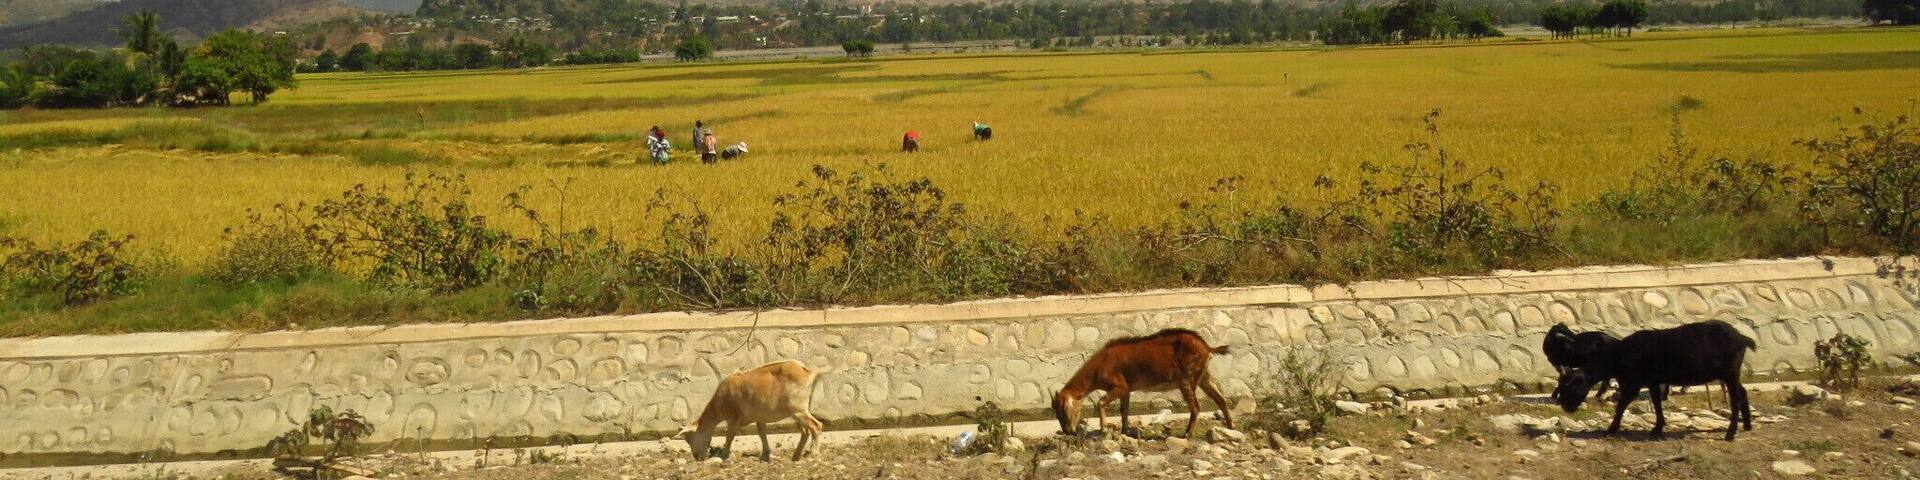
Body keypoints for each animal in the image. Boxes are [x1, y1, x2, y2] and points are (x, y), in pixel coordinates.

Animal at [678, 360, 825, 461]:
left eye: (689, 438)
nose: (697, 457)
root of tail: (808, 372)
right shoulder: (760, 417)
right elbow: (762, 433)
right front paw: (765, 454)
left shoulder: (733, 418)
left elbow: (729, 436)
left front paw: (724, 455)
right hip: (797, 412)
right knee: (805, 430)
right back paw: (796, 456)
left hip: (798, 409)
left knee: (816, 426)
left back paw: (813, 453)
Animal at [1051, 328, 1234, 438]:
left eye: (1064, 409)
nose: (1068, 431)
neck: (1099, 367)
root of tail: (1207, 348)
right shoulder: (1127, 390)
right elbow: (1124, 410)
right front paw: (1124, 431)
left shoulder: (1120, 386)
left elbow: (1101, 402)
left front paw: (1104, 429)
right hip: (1204, 377)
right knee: (1221, 399)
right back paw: (1231, 427)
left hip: (1186, 380)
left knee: (1195, 406)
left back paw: (1187, 434)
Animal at [1551, 320, 1757, 441]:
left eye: (1569, 388)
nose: (1566, 407)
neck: (1616, 357)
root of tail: (1742, 338)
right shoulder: (1653, 381)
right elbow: (1657, 403)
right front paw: (1657, 429)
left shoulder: (1632, 383)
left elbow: (1621, 405)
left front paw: (1611, 429)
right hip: (1729, 372)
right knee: (1742, 391)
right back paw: (1747, 425)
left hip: (1730, 371)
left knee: (1736, 398)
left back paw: (1731, 433)